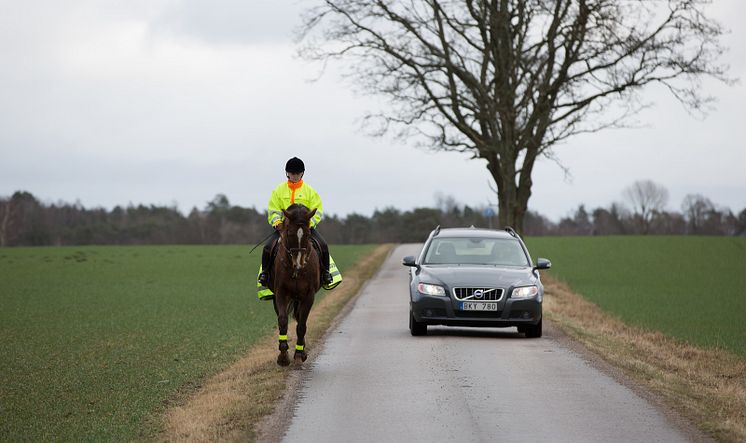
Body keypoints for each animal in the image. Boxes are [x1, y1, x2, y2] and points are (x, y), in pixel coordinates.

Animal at [272, 203, 322, 366]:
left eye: (307, 234)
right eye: (289, 234)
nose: (299, 263)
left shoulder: (309, 295)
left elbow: (301, 325)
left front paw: (299, 353)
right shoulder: (280, 293)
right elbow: (282, 321)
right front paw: (283, 355)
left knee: (300, 319)